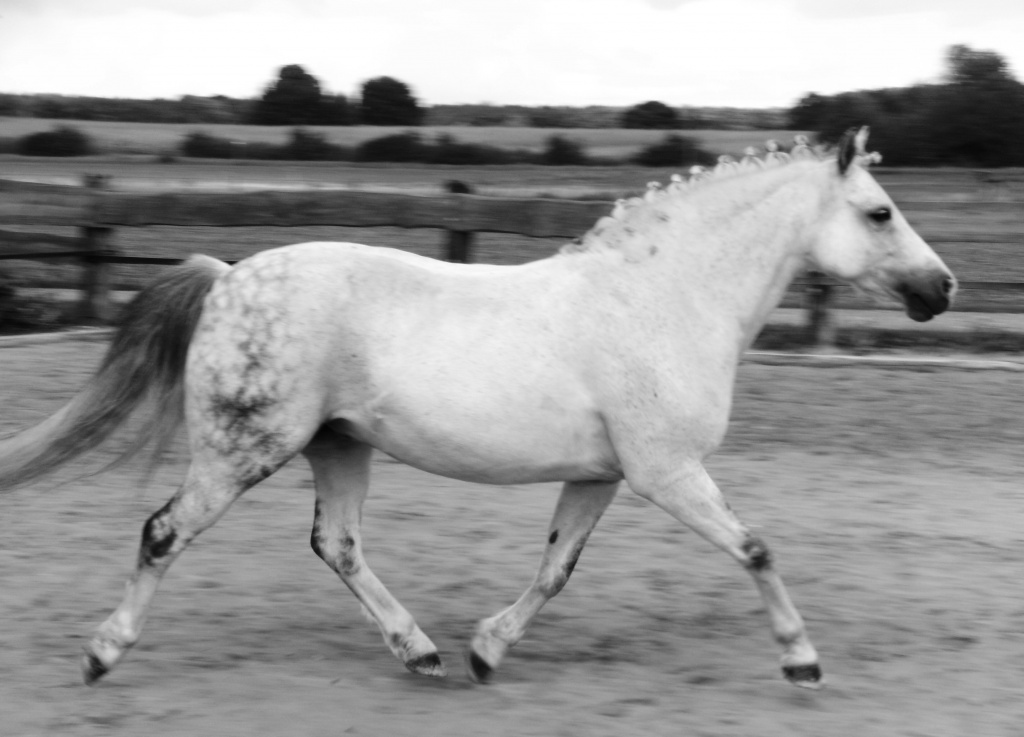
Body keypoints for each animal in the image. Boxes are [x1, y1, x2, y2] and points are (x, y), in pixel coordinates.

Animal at [0, 127, 956, 688]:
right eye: (880, 212)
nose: (941, 288)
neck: (663, 299)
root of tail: (229, 274)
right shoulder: (668, 471)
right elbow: (756, 548)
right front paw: (802, 659)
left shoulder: (604, 475)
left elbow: (556, 568)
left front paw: (486, 650)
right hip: (245, 449)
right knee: (164, 532)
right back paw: (101, 653)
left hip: (338, 445)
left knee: (338, 544)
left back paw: (421, 650)